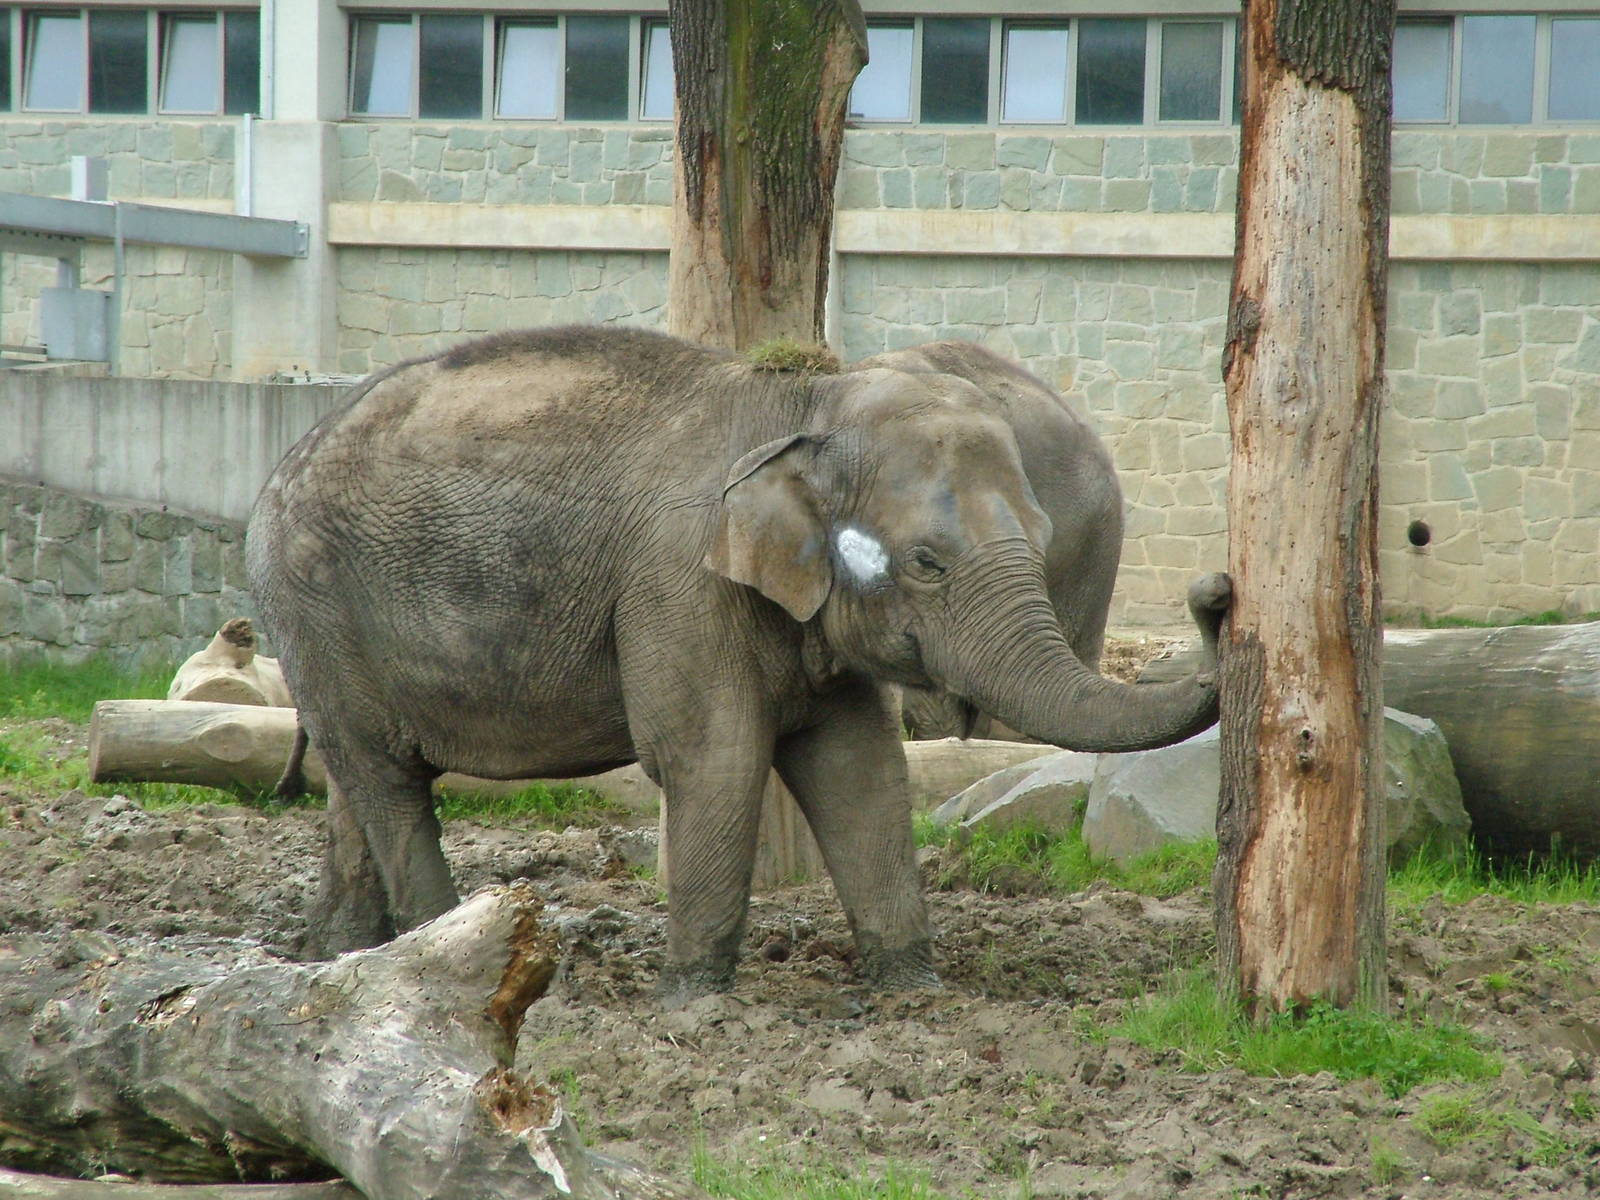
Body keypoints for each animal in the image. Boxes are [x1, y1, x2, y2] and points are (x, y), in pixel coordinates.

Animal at [246, 325, 1230, 1002]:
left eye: (1039, 534)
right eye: (927, 562)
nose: (1217, 594)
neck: (806, 406)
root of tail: (283, 462)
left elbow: (859, 765)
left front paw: (914, 987)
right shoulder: (680, 582)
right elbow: (711, 756)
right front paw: (692, 1003)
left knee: (358, 778)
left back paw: (340, 955)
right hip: (315, 600)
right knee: (385, 778)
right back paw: (430, 954)